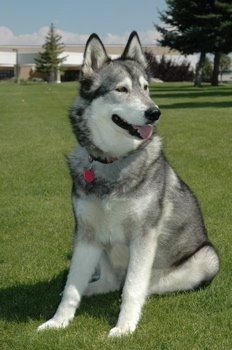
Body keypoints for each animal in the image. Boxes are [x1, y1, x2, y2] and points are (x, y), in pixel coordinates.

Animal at [38, 31, 219, 338]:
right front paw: (58, 321)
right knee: (108, 282)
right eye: (121, 89)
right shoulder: (86, 233)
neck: (113, 162)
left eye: (146, 88)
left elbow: (134, 287)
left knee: (135, 285)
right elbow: (72, 287)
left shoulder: (144, 236)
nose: (154, 112)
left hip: (208, 257)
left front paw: (124, 327)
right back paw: (93, 286)